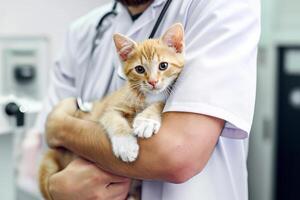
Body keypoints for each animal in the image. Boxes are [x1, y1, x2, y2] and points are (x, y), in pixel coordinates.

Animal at [39, 22, 185, 199]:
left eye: (163, 65)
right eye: (140, 69)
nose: (152, 82)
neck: (148, 95)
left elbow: (160, 104)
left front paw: (146, 120)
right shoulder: (110, 108)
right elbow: (115, 121)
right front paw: (126, 146)